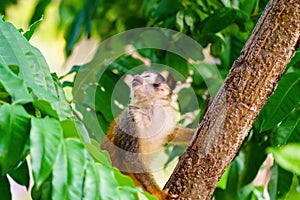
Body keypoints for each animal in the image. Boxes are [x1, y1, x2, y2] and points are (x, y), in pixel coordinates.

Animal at [101, 71, 195, 199]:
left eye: (146, 76)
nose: (136, 76)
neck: (149, 109)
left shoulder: (165, 114)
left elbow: (172, 133)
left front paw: (193, 133)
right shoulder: (130, 118)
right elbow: (132, 158)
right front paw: (160, 195)